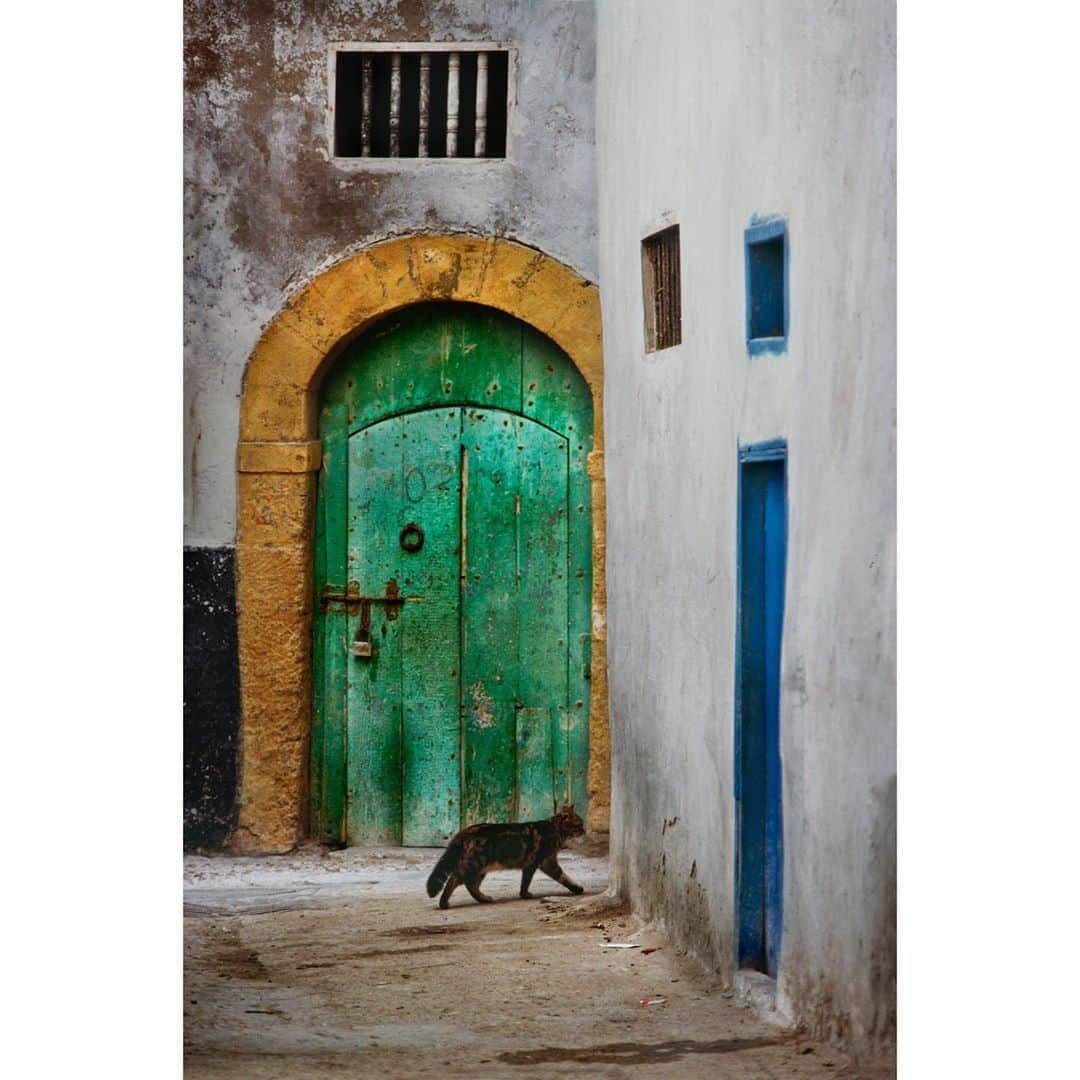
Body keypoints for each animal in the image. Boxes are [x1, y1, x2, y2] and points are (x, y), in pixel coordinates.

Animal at [425, 807, 587, 907]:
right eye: (579, 824)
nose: (585, 830)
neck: (554, 829)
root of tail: (465, 831)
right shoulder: (540, 862)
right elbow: (531, 881)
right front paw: (525, 894)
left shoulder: (540, 863)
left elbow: (557, 877)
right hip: (474, 864)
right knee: (454, 879)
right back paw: (444, 903)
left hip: (481, 868)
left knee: (471, 885)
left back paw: (484, 898)